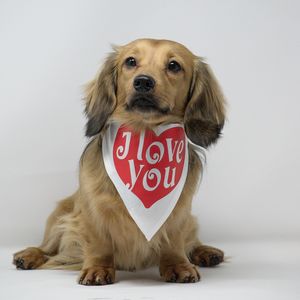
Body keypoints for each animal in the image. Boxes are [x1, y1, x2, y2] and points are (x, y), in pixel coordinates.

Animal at [12, 38, 226, 284]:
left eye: (174, 65)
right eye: (130, 61)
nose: (143, 82)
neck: (145, 134)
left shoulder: (180, 213)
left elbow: (174, 241)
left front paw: (178, 265)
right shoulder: (93, 210)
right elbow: (99, 242)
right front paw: (98, 268)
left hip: (191, 222)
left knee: (192, 241)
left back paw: (206, 252)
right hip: (60, 214)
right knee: (48, 248)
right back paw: (29, 255)